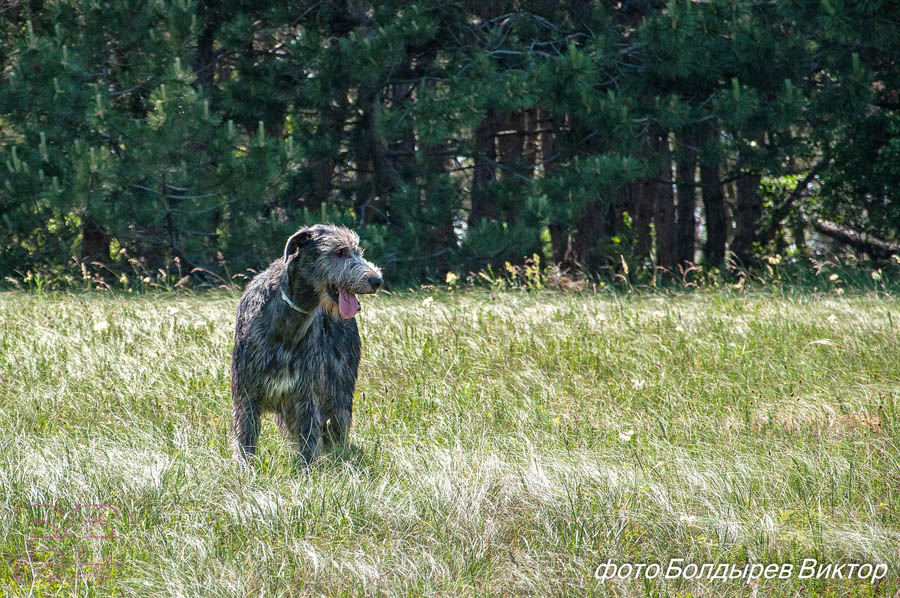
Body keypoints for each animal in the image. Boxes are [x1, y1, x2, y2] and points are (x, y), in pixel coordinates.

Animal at [230, 225, 382, 464]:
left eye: (357, 251)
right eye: (339, 251)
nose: (377, 280)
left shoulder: (307, 396)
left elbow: (309, 441)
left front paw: (307, 471)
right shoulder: (247, 396)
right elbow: (245, 441)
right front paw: (245, 470)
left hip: (340, 392)